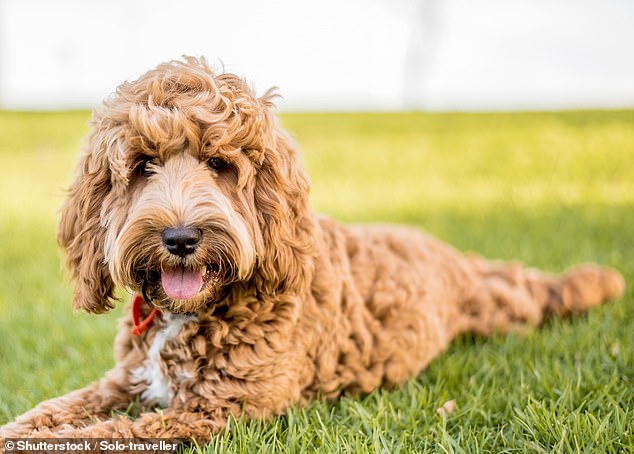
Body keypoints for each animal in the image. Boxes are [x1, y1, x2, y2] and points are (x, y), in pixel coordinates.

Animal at [0, 56, 624, 444]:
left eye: (220, 164)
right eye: (142, 166)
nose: (180, 238)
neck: (199, 311)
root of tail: (441, 249)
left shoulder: (215, 411)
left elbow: (108, 433)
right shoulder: (124, 382)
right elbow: (49, 412)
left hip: (504, 307)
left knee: (537, 290)